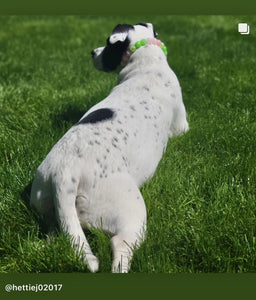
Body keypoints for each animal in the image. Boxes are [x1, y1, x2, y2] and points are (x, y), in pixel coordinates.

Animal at [31, 22, 189, 274]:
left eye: (106, 45)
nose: (92, 52)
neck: (145, 60)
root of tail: (65, 175)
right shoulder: (182, 126)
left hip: (49, 209)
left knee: (56, 236)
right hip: (130, 210)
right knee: (121, 246)